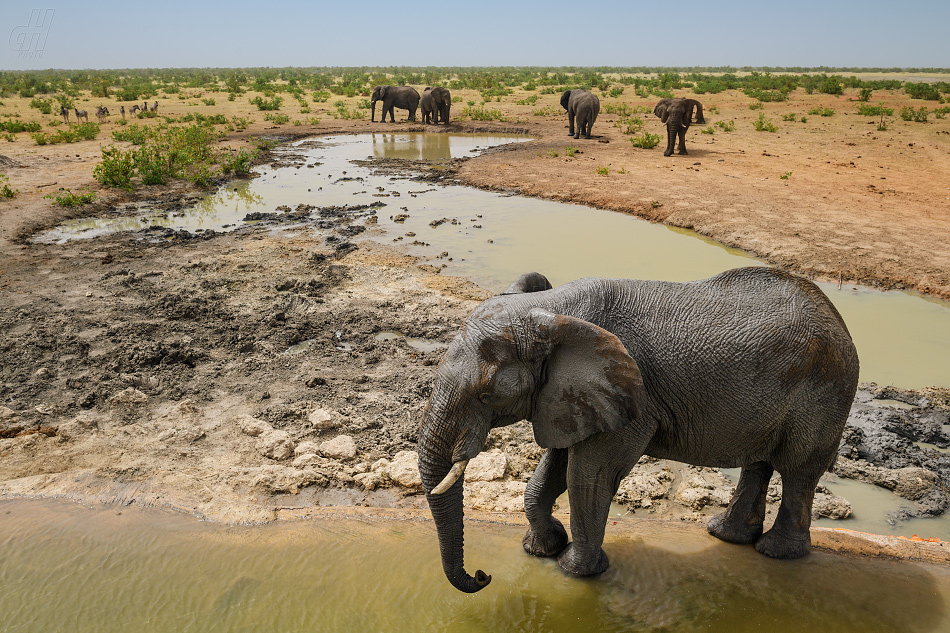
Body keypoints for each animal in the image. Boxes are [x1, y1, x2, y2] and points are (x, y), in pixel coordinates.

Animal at [420, 264, 860, 592]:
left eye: (485, 395)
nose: (482, 575)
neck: (550, 311)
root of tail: (838, 318)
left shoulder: (633, 397)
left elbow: (588, 474)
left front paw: (575, 571)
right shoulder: (570, 395)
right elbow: (556, 464)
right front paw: (542, 549)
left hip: (825, 390)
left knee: (798, 469)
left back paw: (775, 552)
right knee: (761, 462)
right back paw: (727, 536)